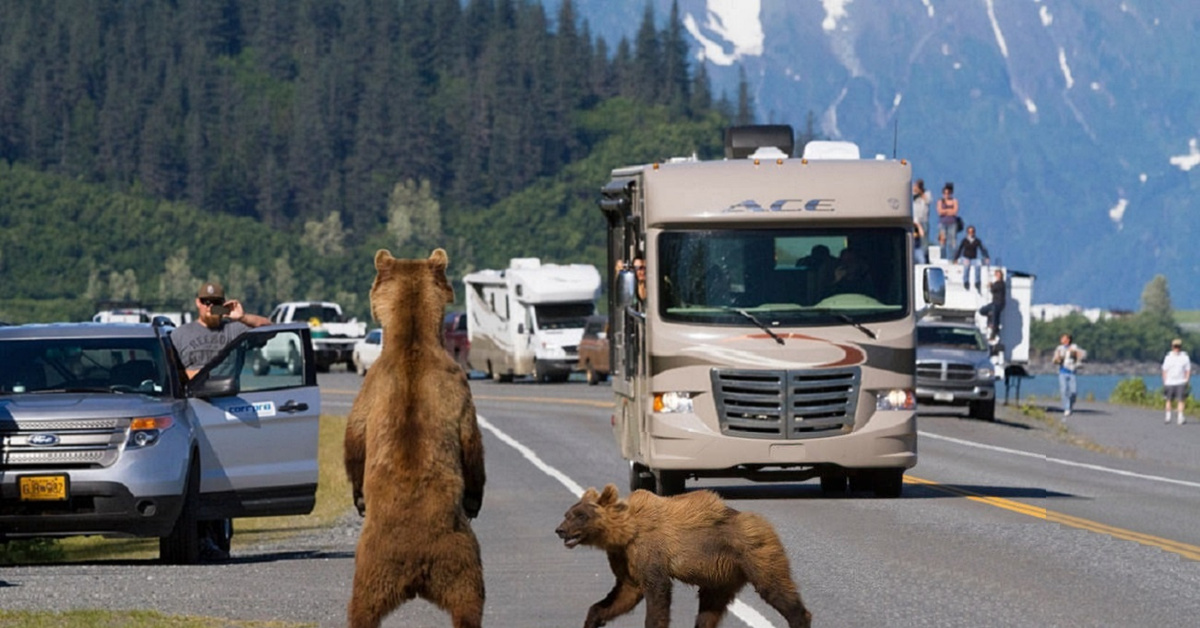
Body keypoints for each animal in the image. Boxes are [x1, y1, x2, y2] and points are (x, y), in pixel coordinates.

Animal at [556, 485, 811, 624]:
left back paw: (799, 616)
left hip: (754, 553)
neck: (626, 532)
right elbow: (624, 593)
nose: (560, 530)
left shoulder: (649, 552)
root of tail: (763, 522)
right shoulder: (625, 558)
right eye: (567, 514)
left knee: (775, 588)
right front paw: (593, 618)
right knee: (709, 609)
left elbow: (657, 591)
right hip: (721, 576)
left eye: (580, 516)